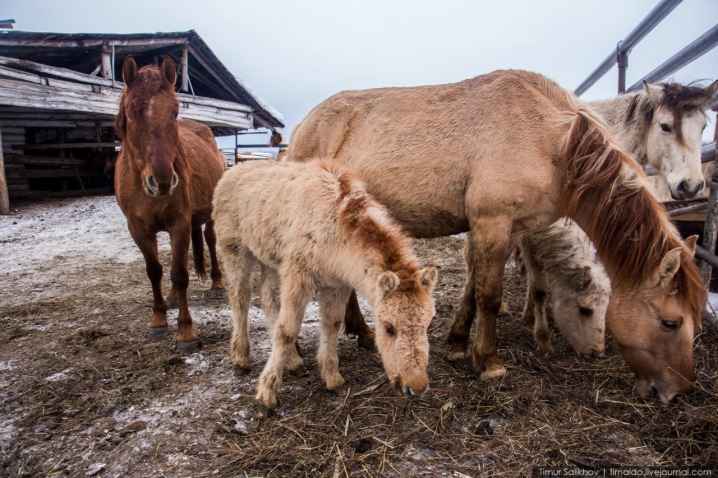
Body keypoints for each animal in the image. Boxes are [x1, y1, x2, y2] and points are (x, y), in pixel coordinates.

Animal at [114, 56, 226, 352]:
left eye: (174, 112)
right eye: (131, 112)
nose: (163, 180)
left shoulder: (180, 223)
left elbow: (179, 273)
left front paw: (186, 332)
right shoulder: (138, 228)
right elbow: (154, 271)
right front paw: (158, 319)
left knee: (210, 242)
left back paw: (217, 284)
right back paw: (173, 297)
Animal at [212, 159, 438, 416]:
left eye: (429, 324)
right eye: (389, 328)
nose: (416, 387)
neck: (335, 228)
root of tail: (232, 170)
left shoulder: (337, 284)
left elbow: (332, 324)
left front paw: (332, 379)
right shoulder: (298, 275)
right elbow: (287, 330)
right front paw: (266, 396)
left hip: (269, 260)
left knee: (268, 298)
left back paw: (293, 362)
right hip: (234, 250)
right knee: (240, 298)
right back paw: (241, 358)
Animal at [292, 69, 708, 402]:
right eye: (670, 322)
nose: (680, 391)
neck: (551, 139)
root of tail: (303, 125)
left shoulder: (507, 230)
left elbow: (475, 289)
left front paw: (459, 345)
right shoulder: (492, 221)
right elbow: (489, 296)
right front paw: (489, 362)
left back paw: (362, 334)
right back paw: (296, 352)